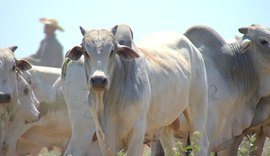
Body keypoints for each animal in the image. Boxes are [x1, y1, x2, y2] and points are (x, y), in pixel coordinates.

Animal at [65, 25, 209, 155]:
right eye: (85, 52)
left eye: (112, 51)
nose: (99, 80)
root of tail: (194, 50)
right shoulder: (102, 135)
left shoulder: (137, 131)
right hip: (165, 124)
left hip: (197, 112)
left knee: (200, 145)